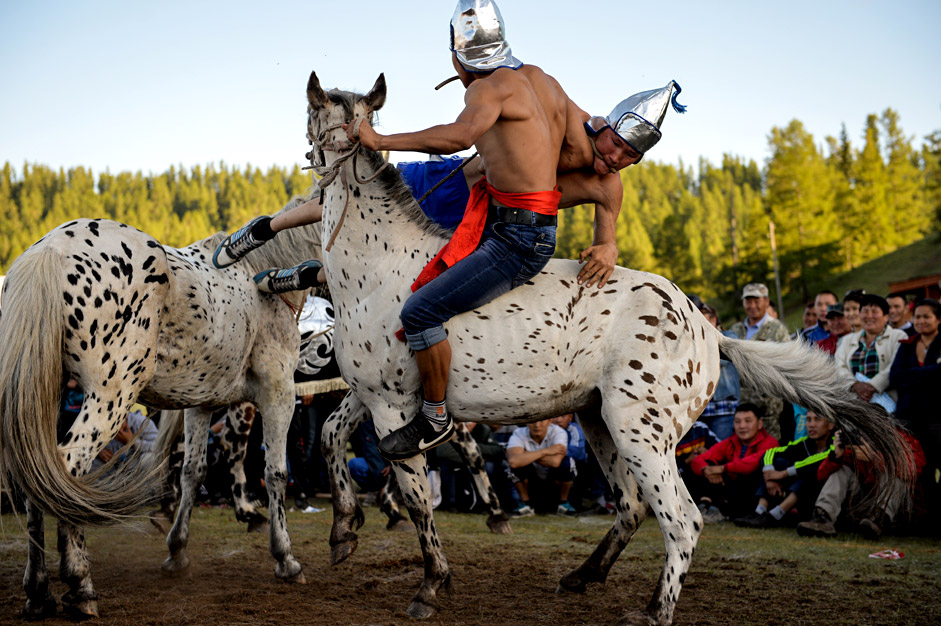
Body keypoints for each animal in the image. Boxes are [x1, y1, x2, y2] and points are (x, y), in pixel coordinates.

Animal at [0, 197, 322, 616]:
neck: (263, 275)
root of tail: (49, 251)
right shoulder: (278, 392)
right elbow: (276, 473)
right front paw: (285, 558)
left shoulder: (202, 404)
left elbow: (192, 472)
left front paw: (177, 551)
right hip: (111, 397)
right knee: (66, 473)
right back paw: (80, 582)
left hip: (42, 401)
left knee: (36, 482)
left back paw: (38, 591)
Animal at [306, 70, 912, 620]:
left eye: (310, 112)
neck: (379, 266)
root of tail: (707, 329)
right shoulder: (370, 394)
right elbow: (333, 433)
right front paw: (343, 529)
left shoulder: (395, 408)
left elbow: (415, 500)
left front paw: (431, 584)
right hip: (599, 420)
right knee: (631, 505)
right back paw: (584, 575)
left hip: (640, 431)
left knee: (681, 518)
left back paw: (655, 609)